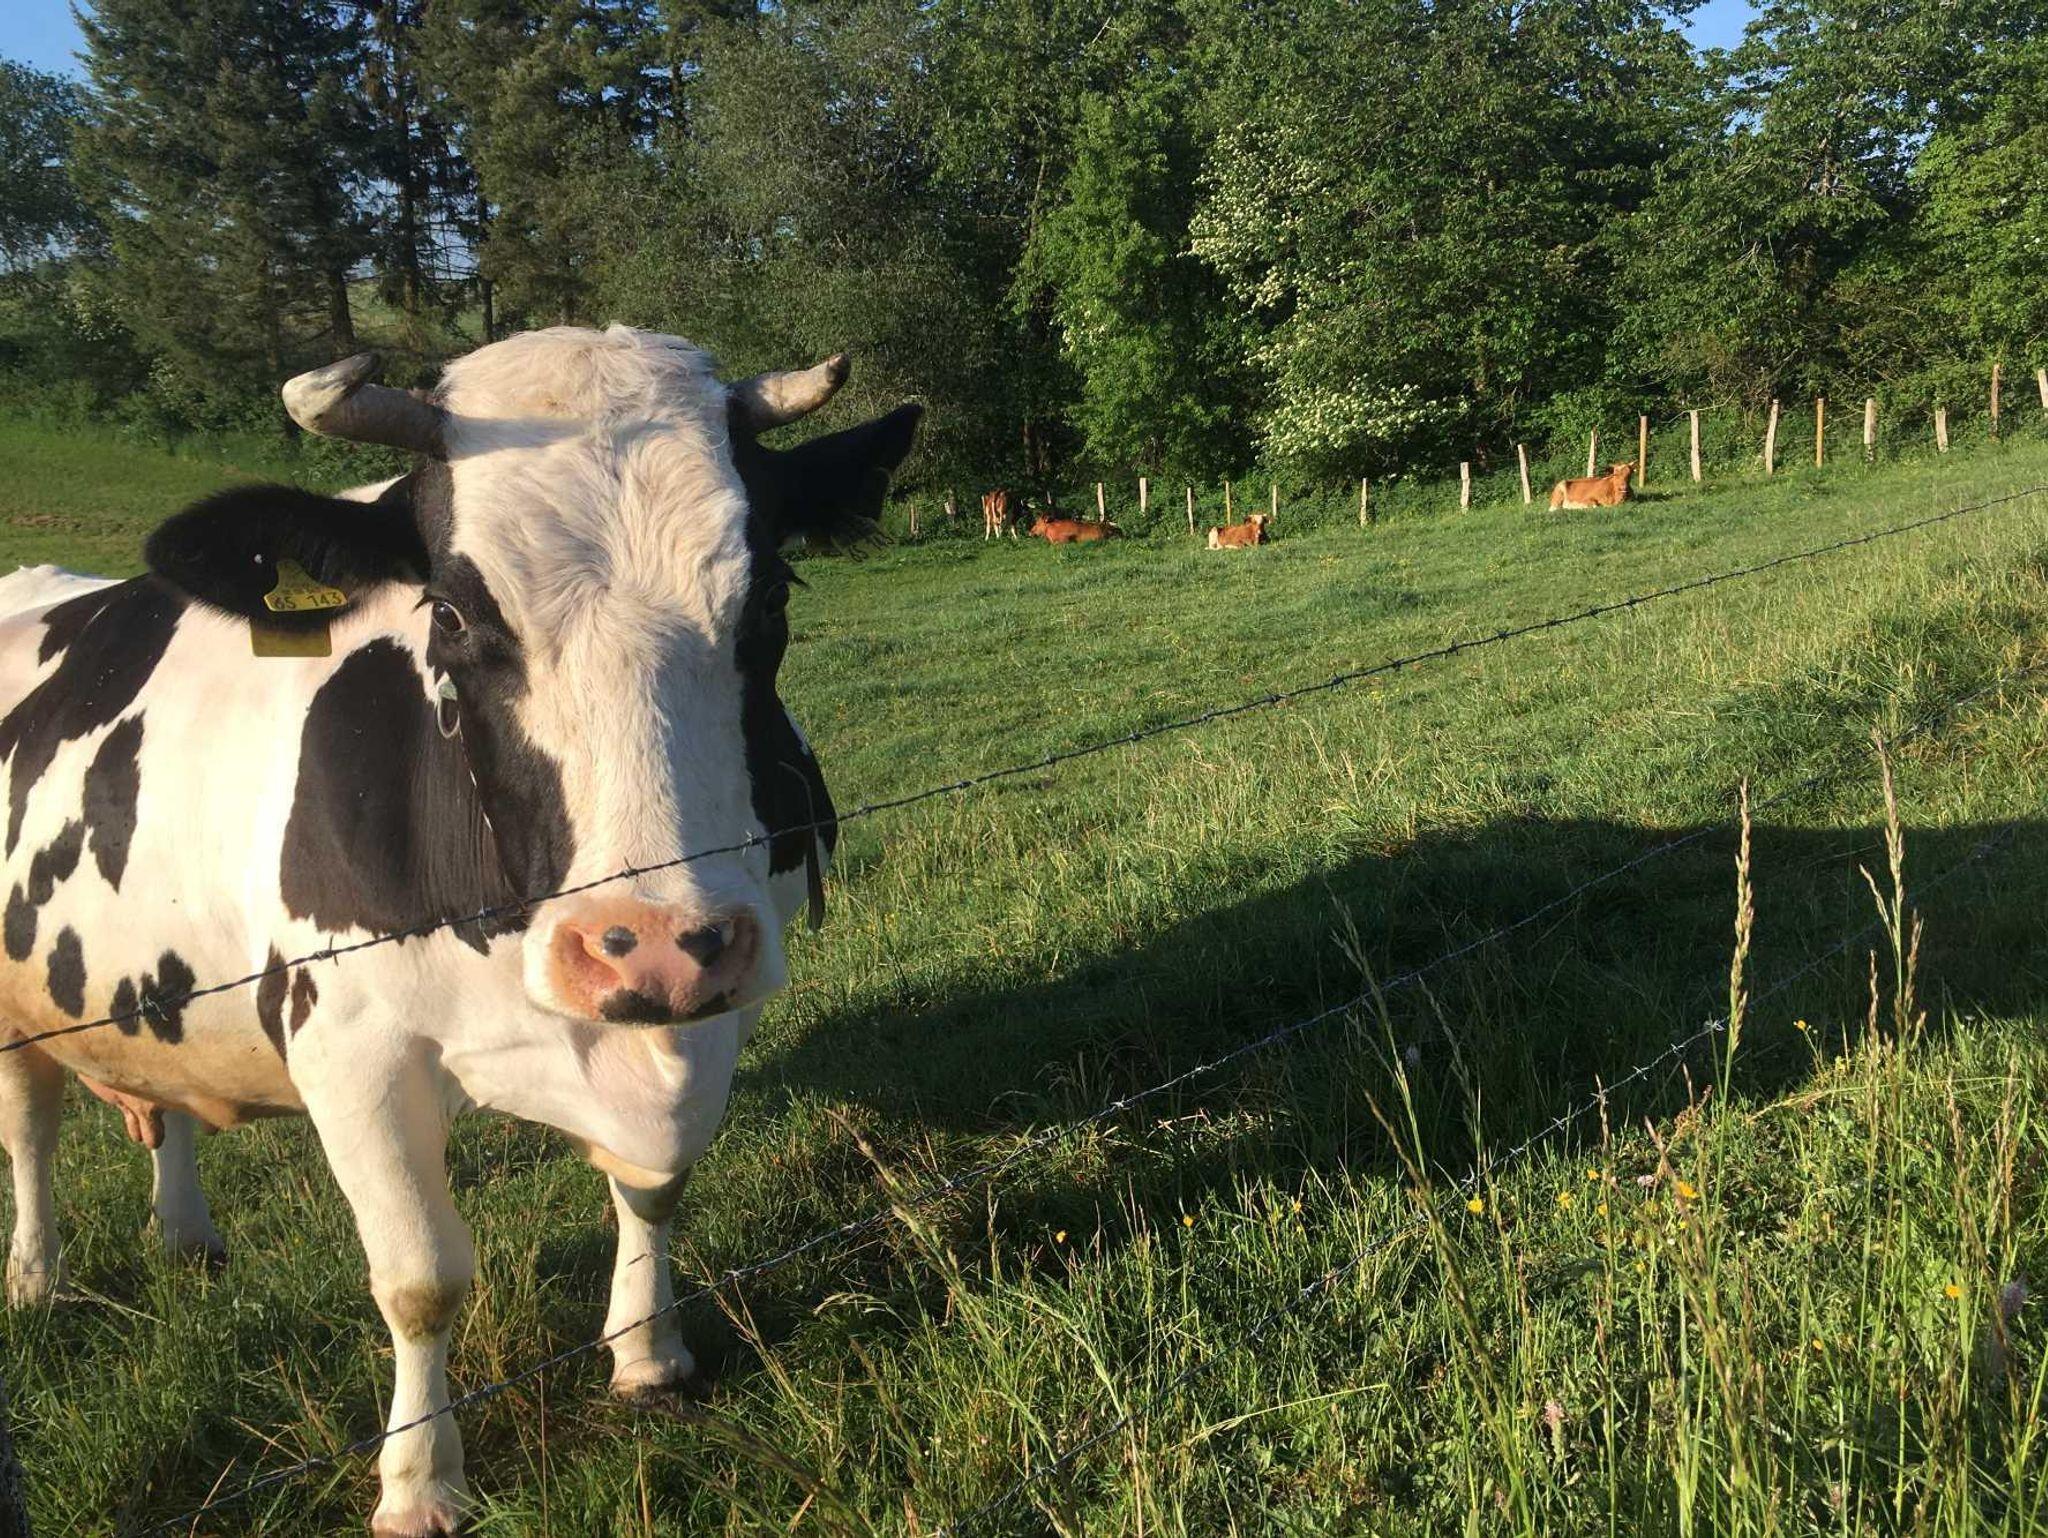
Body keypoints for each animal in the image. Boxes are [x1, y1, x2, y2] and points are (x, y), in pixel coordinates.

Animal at [0, 325, 919, 1536]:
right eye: (449, 615)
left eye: (770, 593)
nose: (648, 941)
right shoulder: (348, 1047)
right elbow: (422, 1277)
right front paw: (419, 1483)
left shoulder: (715, 1000)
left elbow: (653, 1180)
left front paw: (648, 1353)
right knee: (30, 1127)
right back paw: (35, 1278)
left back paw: (187, 1237)